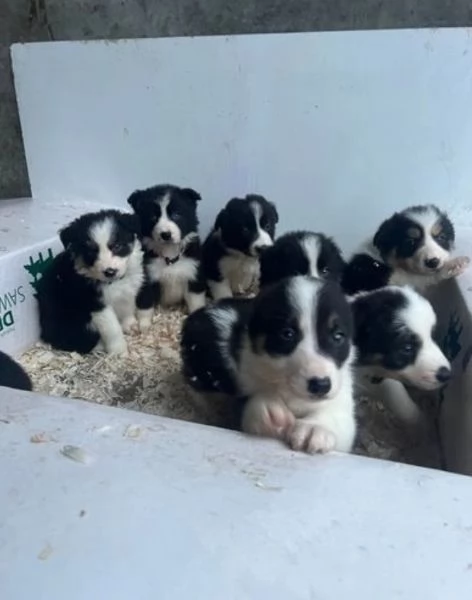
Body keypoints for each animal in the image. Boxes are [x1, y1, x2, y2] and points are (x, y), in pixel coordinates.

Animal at [37, 209, 142, 354]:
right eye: (91, 252)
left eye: (117, 246)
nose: (110, 271)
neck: (113, 282)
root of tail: (44, 334)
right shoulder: (96, 304)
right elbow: (113, 328)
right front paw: (119, 351)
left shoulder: (128, 290)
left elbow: (127, 308)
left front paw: (130, 326)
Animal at [126, 184, 206, 332]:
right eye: (153, 217)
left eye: (176, 215)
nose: (166, 235)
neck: (169, 254)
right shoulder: (146, 277)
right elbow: (145, 303)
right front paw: (144, 325)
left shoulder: (194, 274)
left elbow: (196, 301)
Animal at [182, 276, 358, 454]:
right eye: (287, 334)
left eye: (338, 336)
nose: (320, 385)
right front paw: (266, 410)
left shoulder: (341, 401)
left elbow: (335, 419)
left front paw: (315, 427)